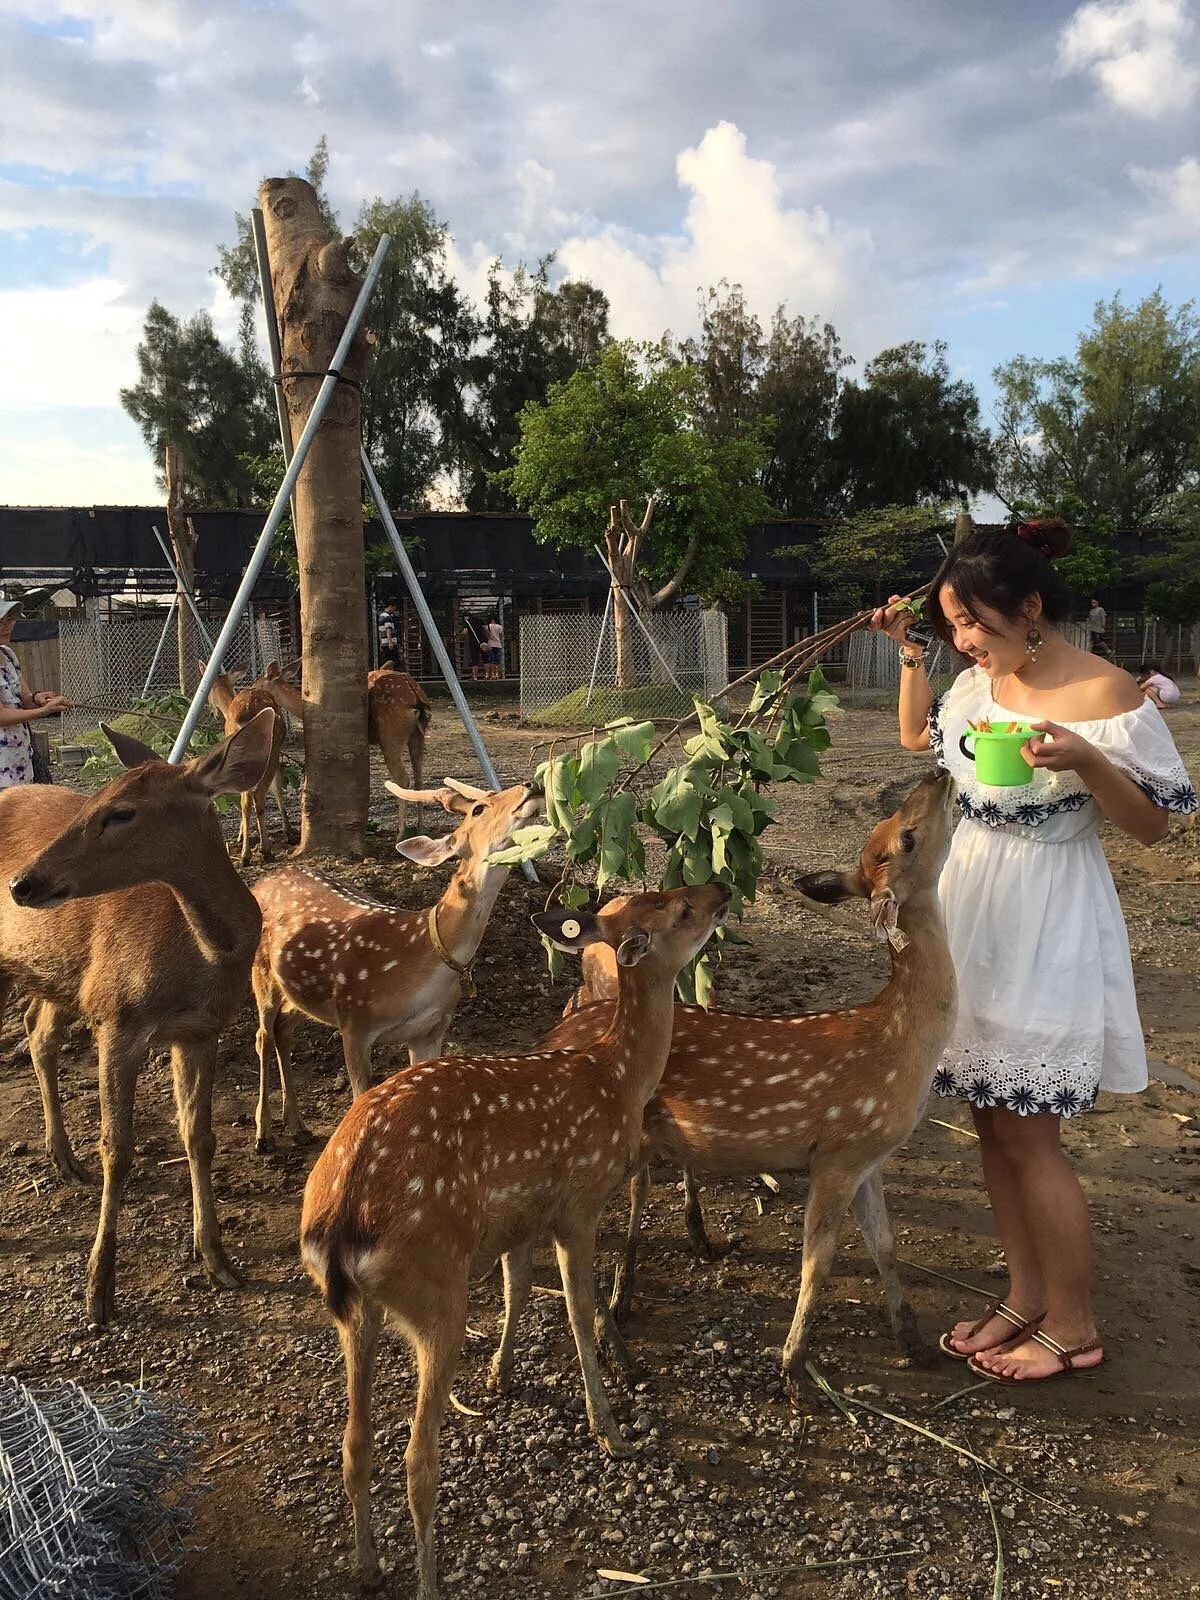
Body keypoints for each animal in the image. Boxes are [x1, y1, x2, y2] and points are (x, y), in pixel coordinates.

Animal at [0, 709, 276, 1326]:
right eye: (96, 798)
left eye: (121, 811)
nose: (22, 883)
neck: (203, 958)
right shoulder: (117, 1015)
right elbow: (117, 1148)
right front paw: (98, 1290)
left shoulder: (201, 1029)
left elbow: (199, 1135)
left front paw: (217, 1259)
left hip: (59, 975)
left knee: (37, 1031)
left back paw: (62, 1159)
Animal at [248, 777, 544, 1153]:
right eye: (479, 808)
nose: (531, 784)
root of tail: (264, 878)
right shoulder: (354, 1021)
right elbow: (360, 1098)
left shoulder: (432, 1029)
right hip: (260, 973)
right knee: (263, 1036)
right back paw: (263, 1134)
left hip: (297, 993)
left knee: (284, 1033)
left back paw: (298, 1127)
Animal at [299, 880, 730, 1598]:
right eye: (682, 910)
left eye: (666, 893)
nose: (721, 889)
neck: (615, 1079)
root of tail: (340, 1218)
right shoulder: (578, 1203)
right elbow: (578, 1312)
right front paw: (610, 1428)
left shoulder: (520, 1219)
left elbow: (519, 1290)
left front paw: (501, 1375)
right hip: (434, 1286)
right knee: (418, 1456)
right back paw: (428, 1580)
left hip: (353, 1311)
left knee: (353, 1443)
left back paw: (365, 1565)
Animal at [368, 663, 431, 836]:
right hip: (418, 735)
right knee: (419, 779)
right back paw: (420, 829)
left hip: (390, 733)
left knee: (403, 779)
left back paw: (400, 834)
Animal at [542, 769, 957, 1387]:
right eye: (903, 836)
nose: (939, 773)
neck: (897, 1041)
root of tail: (550, 1038)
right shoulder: (838, 1150)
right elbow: (817, 1261)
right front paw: (794, 1366)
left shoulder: (870, 1156)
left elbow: (884, 1245)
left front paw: (915, 1342)